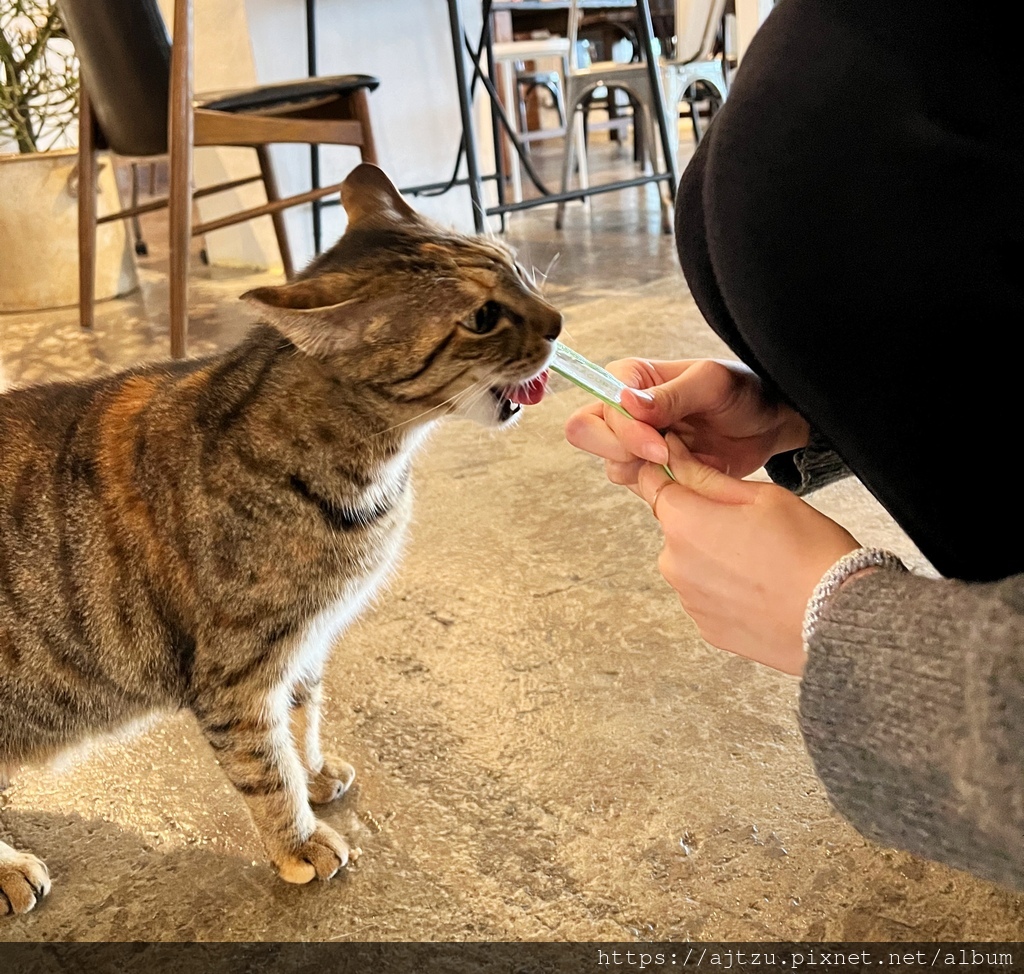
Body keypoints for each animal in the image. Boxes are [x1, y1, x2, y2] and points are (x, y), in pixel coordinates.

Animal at [0, 163, 561, 917]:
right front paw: (299, 841)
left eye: (520, 271)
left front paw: (315, 772)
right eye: (482, 318)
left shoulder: (304, 645)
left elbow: (302, 723)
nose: (558, 321)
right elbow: (265, 768)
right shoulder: (236, 676)